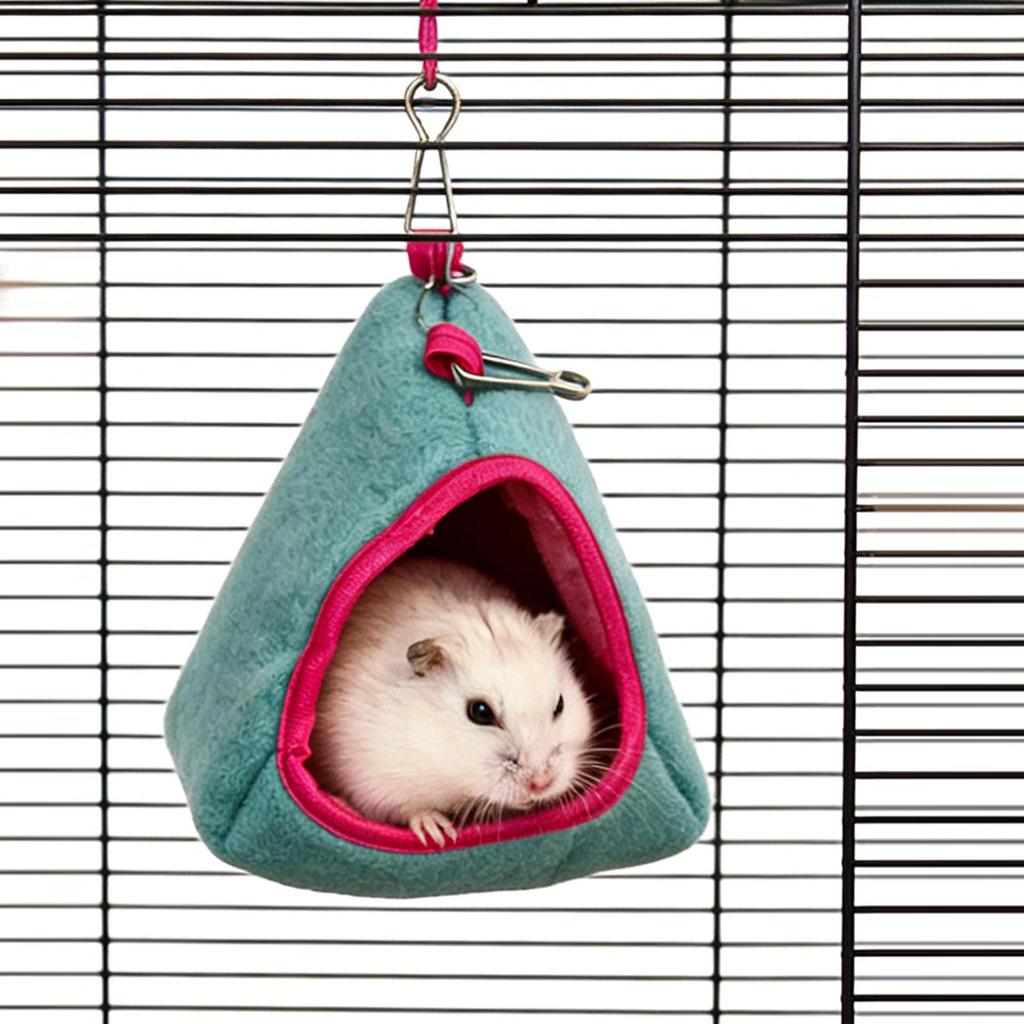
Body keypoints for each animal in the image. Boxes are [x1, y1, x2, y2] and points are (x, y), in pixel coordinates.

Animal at [308, 555, 596, 847]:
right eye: (480, 712)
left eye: (560, 705)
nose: (541, 783)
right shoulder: (373, 777)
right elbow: (408, 808)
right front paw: (438, 833)